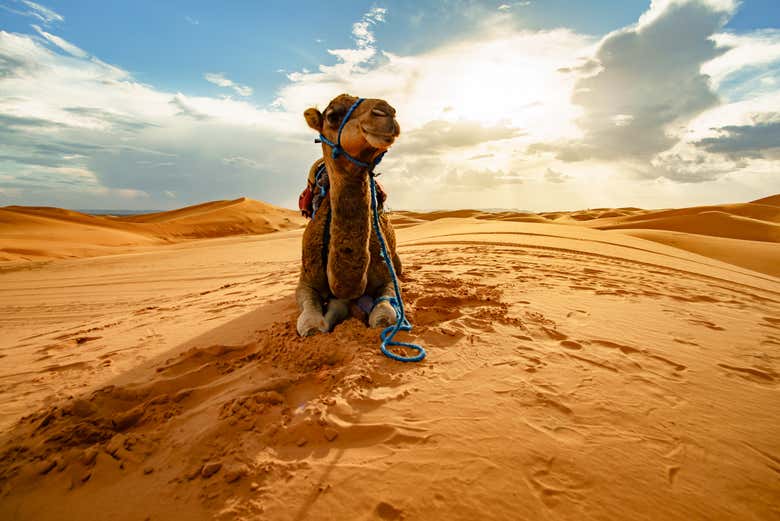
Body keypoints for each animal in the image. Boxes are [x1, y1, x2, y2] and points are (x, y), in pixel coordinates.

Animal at [296, 93, 406, 338]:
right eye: (332, 115)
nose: (386, 112)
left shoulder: (388, 278)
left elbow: (383, 316)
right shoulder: (305, 281)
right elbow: (310, 324)